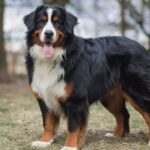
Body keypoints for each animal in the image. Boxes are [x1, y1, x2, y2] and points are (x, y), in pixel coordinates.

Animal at [23, 4, 150, 150]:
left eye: (57, 22)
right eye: (41, 21)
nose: (48, 33)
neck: (57, 57)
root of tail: (143, 47)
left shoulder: (75, 99)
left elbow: (73, 126)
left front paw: (70, 146)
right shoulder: (45, 97)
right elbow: (48, 122)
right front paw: (44, 141)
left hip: (137, 91)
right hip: (110, 97)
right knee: (123, 114)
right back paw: (116, 135)